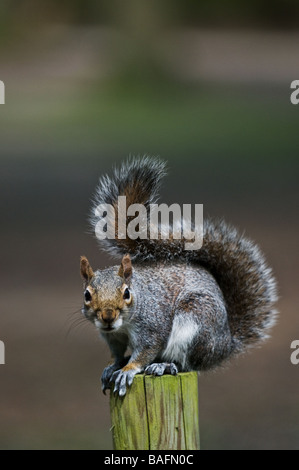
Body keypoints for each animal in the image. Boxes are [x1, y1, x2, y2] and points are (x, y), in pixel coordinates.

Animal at [80, 157, 278, 396]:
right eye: (87, 295)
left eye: (127, 293)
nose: (108, 317)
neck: (123, 326)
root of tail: (225, 345)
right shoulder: (112, 337)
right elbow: (117, 354)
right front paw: (114, 366)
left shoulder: (152, 327)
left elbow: (146, 351)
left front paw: (128, 369)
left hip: (195, 322)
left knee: (187, 363)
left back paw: (164, 365)